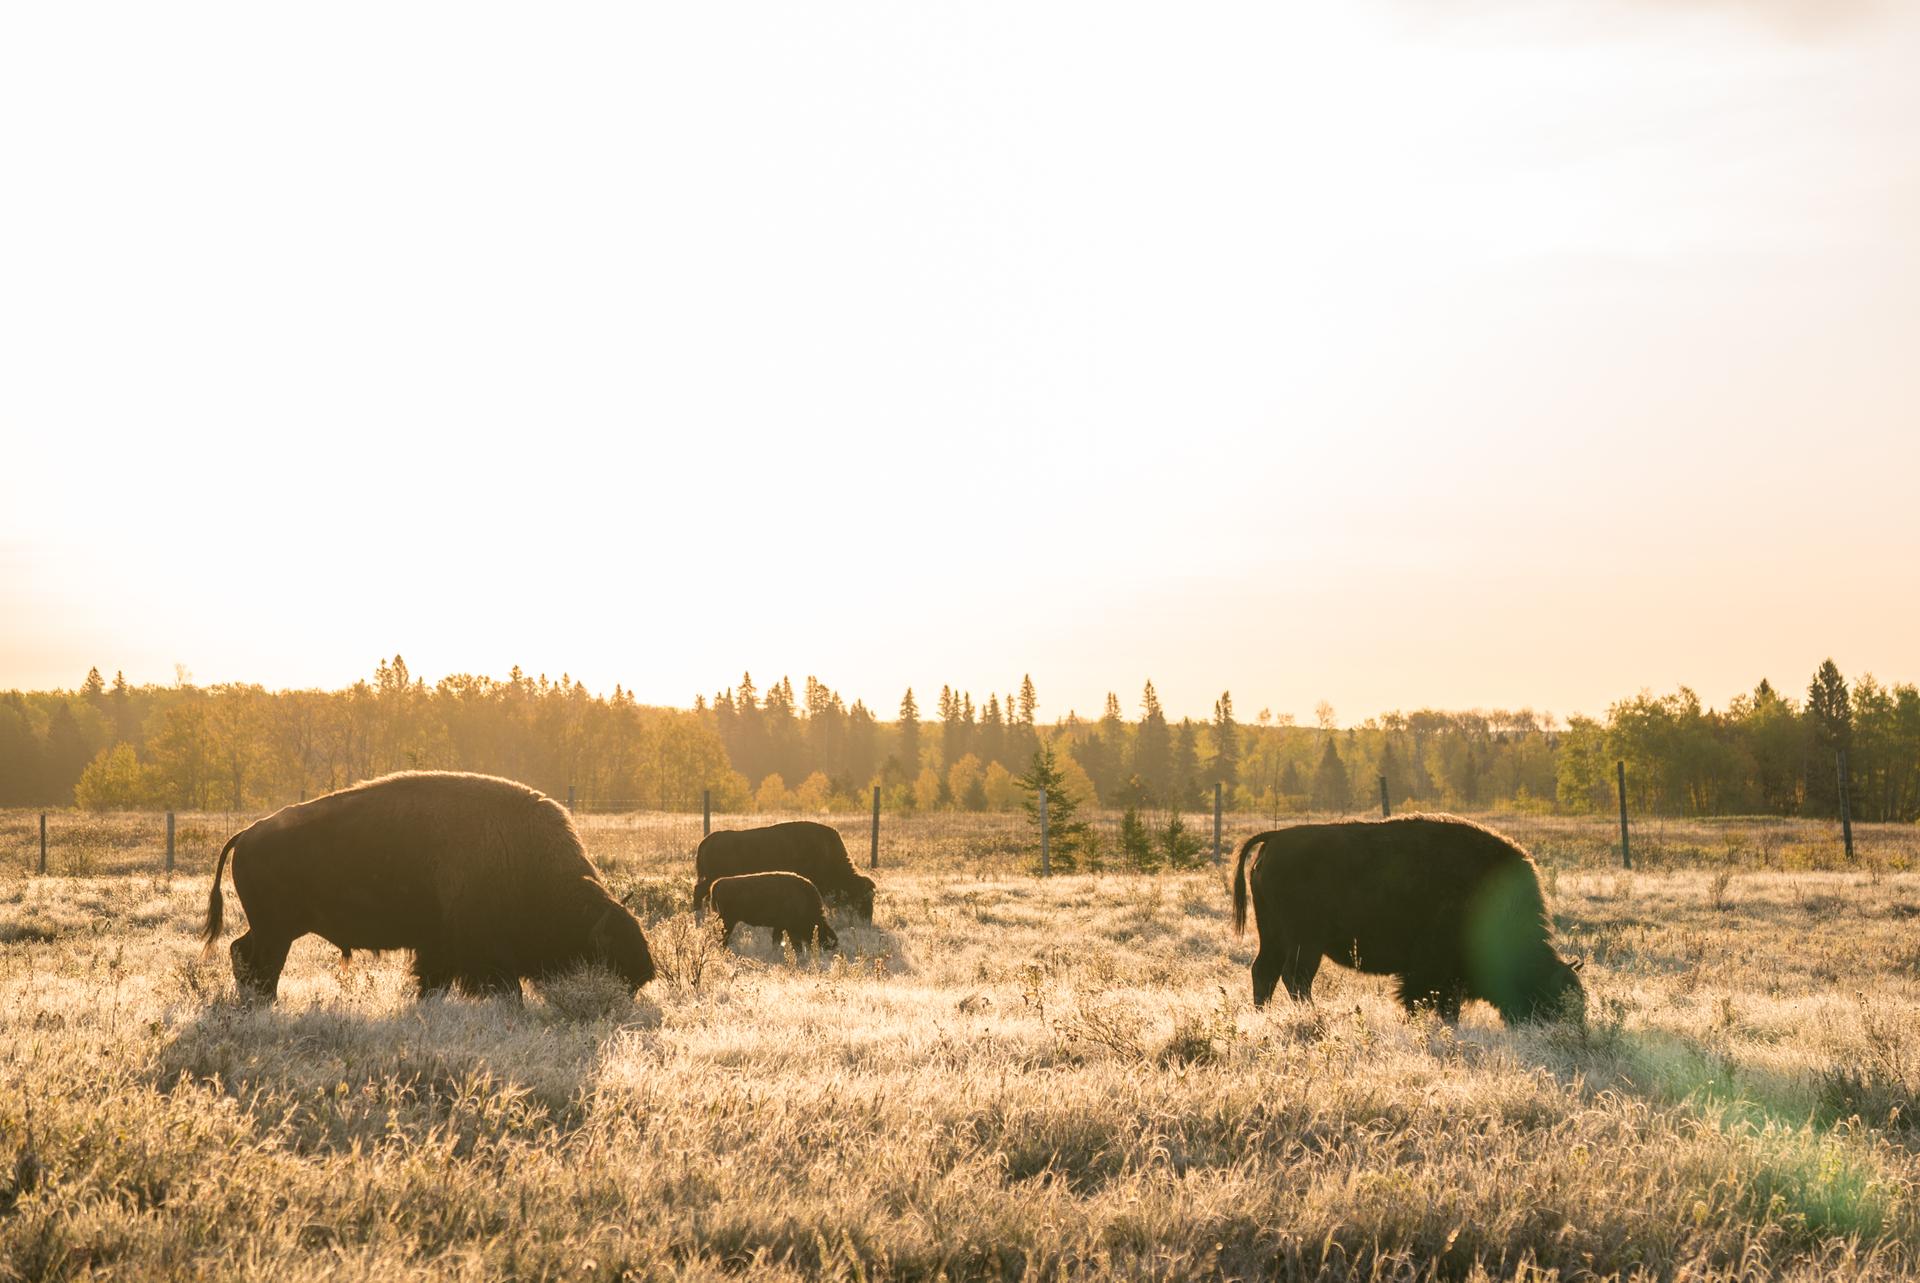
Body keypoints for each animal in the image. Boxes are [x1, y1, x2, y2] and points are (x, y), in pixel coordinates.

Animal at [198, 772, 656, 998]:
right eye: (605, 958)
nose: (636, 984)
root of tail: (248, 833)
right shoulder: (479, 953)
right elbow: (502, 990)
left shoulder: (439, 949)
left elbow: (432, 983)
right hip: (276, 930)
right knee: (258, 961)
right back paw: (266, 1003)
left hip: (274, 928)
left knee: (243, 952)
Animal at [706, 871, 840, 960]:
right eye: (821, 933)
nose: (821, 950)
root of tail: (716, 884)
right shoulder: (787, 928)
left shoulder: (781, 927)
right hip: (728, 920)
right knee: (723, 937)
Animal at [1236, 818, 1582, 1029]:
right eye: (1552, 997)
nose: (1563, 1030)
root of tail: (1275, 839)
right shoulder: (1432, 972)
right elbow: (1428, 1000)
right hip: (1303, 942)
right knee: (1293, 978)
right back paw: (1307, 1014)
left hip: (1278, 937)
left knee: (1268, 973)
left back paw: (1266, 1015)